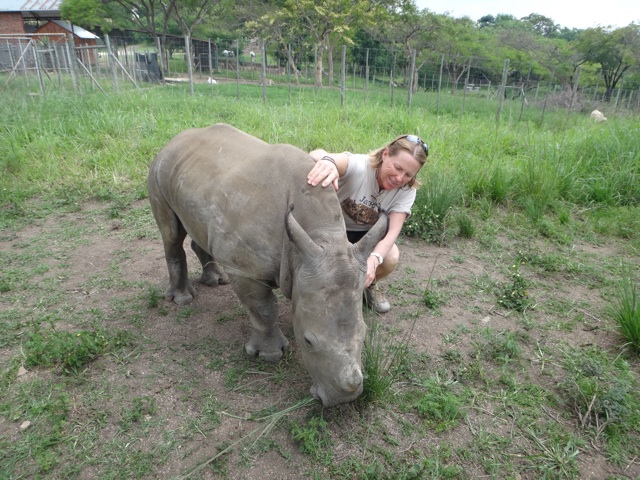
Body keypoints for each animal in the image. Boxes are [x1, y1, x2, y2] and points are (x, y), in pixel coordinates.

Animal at [147, 123, 388, 406]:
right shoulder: (245, 269)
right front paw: (270, 355)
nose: (343, 399)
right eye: (308, 341)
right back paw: (183, 299)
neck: (321, 237)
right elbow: (262, 308)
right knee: (172, 234)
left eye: (364, 334)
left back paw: (217, 281)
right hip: (159, 169)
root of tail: (175, 139)